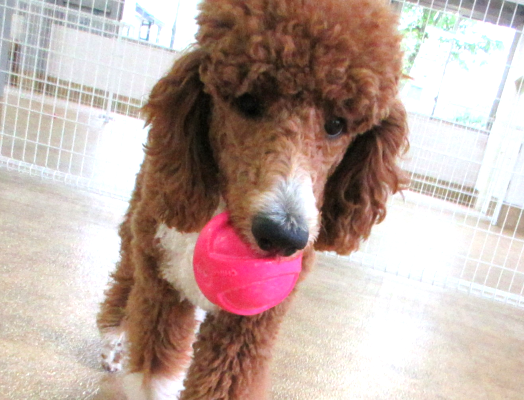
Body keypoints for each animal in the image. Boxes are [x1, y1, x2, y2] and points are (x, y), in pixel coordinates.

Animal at [97, 0, 408, 398]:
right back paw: (112, 341)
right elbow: (155, 375)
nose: (283, 236)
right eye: (247, 102)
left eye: (337, 124)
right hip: (140, 234)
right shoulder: (162, 286)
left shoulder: (248, 325)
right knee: (123, 282)